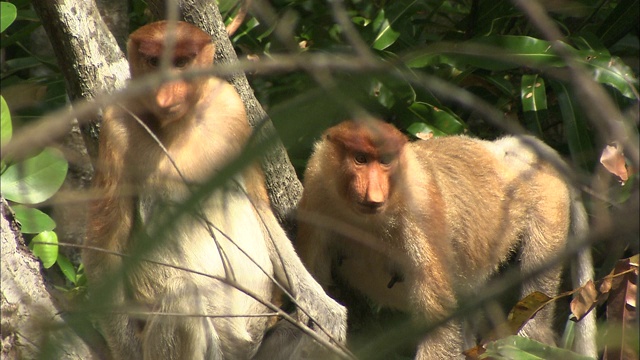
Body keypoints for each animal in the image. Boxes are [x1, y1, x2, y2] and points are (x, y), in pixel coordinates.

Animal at [85, 21, 348, 358]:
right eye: (154, 62)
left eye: (181, 62)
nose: (166, 93)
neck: (180, 123)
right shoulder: (117, 125)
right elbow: (104, 246)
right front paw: (127, 351)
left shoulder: (231, 106)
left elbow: (257, 203)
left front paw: (322, 306)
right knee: (183, 300)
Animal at [296, 119, 596, 358]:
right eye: (360, 159)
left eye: (385, 161)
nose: (374, 194)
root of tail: (509, 151)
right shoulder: (316, 193)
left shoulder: (421, 210)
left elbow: (437, 321)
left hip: (548, 204)